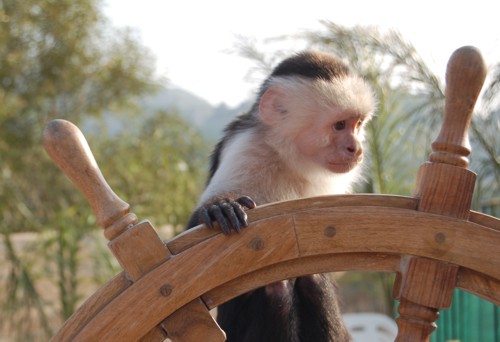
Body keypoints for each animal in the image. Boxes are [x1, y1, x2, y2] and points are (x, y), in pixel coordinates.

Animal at [187, 50, 376, 342]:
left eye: (358, 124)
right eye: (339, 125)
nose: (356, 149)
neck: (289, 157)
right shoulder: (247, 148)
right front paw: (219, 207)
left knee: (313, 280)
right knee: (277, 289)